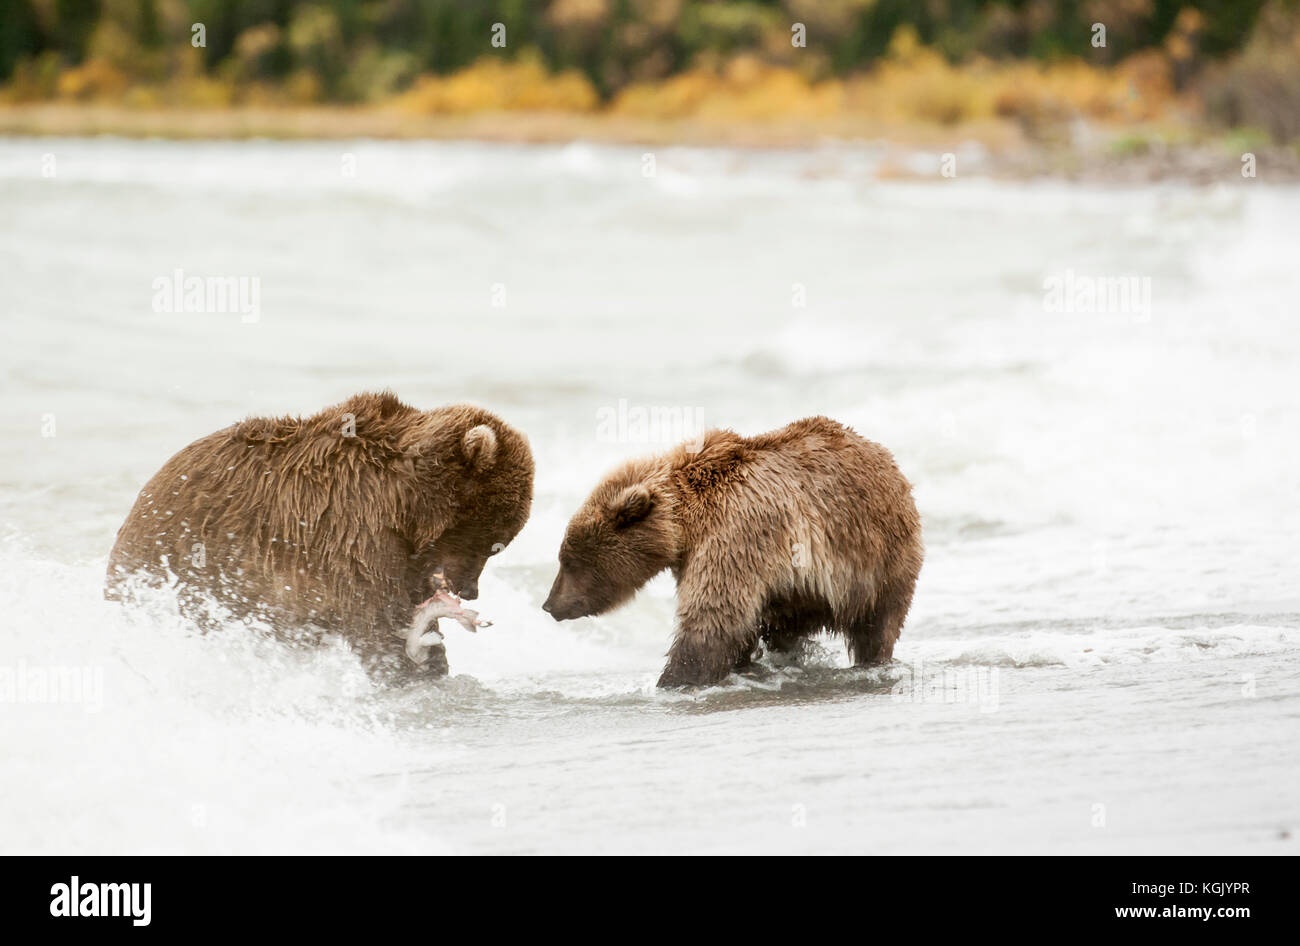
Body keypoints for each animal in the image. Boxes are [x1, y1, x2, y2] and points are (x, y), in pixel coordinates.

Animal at [106, 392, 533, 680]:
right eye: (490, 538)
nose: (469, 590)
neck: (407, 505)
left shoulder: (403, 555)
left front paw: (431, 655)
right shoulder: (350, 530)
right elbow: (374, 614)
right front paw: (411, 664)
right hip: (182, 565)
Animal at [543, 418, 920, 686]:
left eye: (568, 560)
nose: (549, 604)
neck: (686, 523)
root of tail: (888, 460)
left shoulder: (735, 535)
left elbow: (714, 617)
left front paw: (674, 679)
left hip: (881, 557)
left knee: (878, 624)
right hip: (803, 592)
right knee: (785, 629)